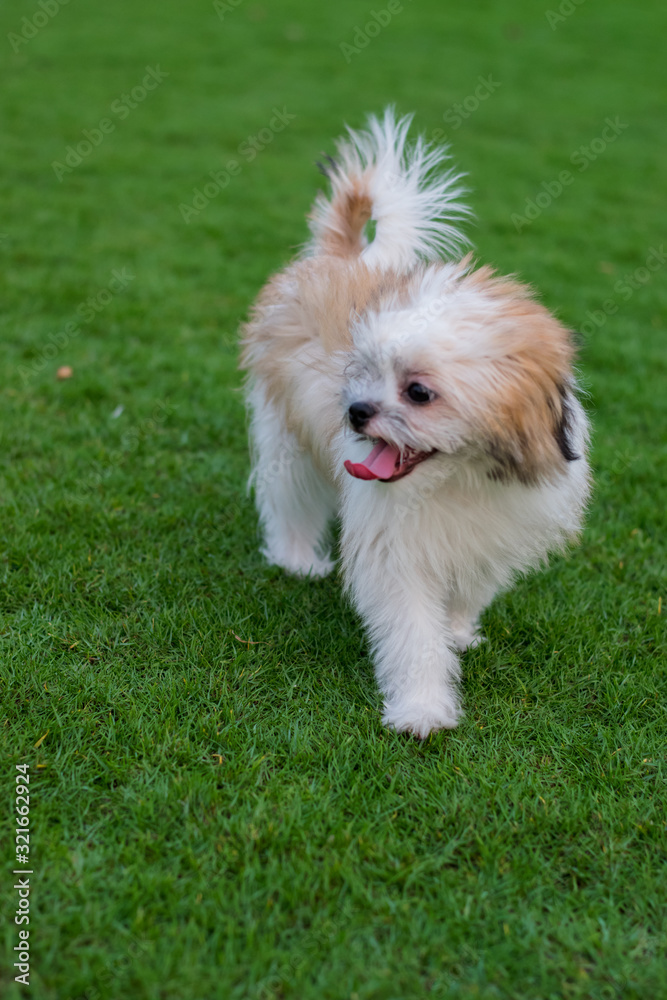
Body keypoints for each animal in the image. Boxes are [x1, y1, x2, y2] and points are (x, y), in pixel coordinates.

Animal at [240, 109, 588, 740]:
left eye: (419, 391)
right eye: (363, 370)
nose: (354, 412)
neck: (460, 479)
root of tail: (346, 257)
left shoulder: (492, 533)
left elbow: (465, 592)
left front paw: (458, 631)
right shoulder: (394, 551)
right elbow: (411, 631)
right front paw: (422, 708)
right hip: (284, 431)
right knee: (289, 496)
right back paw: (296, 558)